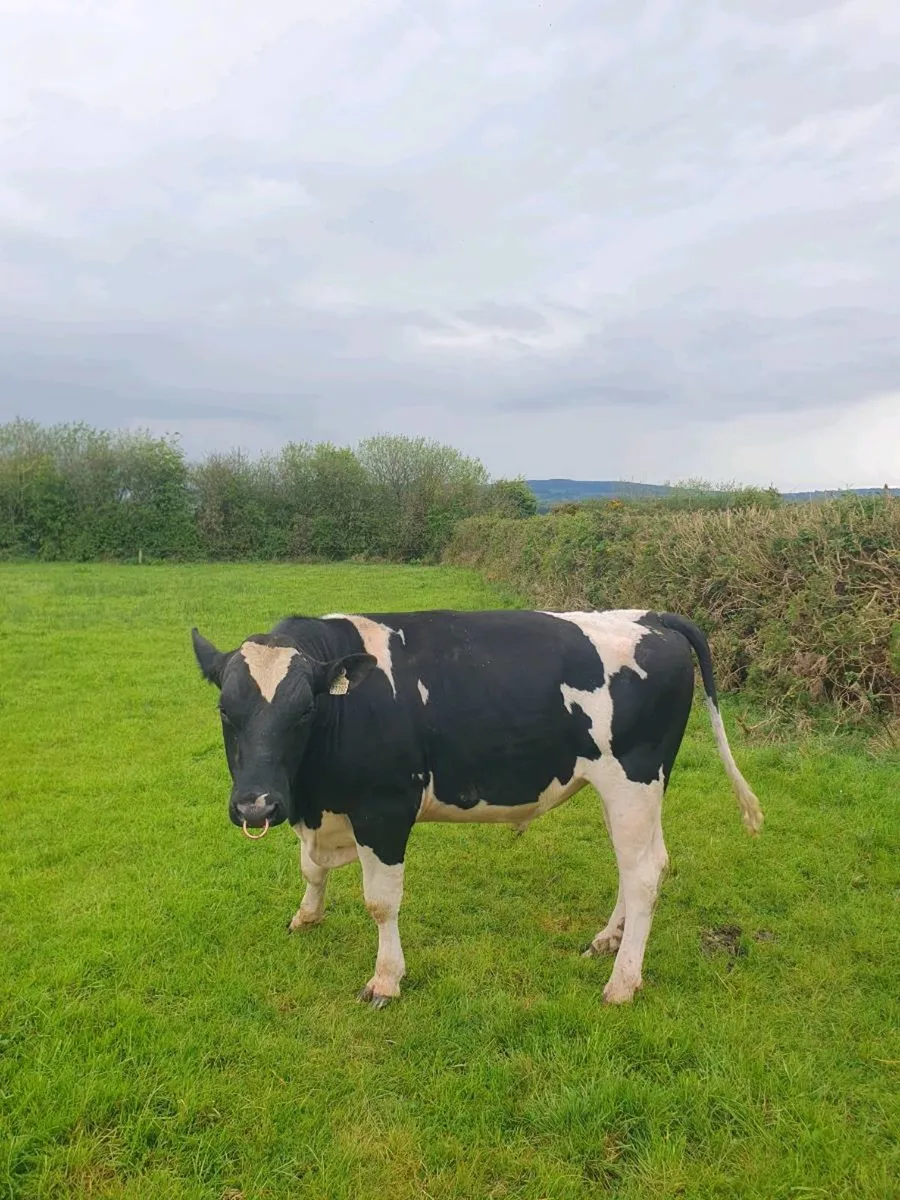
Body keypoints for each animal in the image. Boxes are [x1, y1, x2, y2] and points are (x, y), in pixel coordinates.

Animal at [191, 608, 762, 1008]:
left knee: (642, 873)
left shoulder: (384, 809)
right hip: (636, 787)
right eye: (224, 709)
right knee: (645, 863)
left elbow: (381, 902)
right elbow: (310, 868)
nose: (257, 805)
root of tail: (652, 616)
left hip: (633, 778)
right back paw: (607, 940)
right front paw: (307, 916)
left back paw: (622, 981)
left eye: (305, 709)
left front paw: (386, 979)